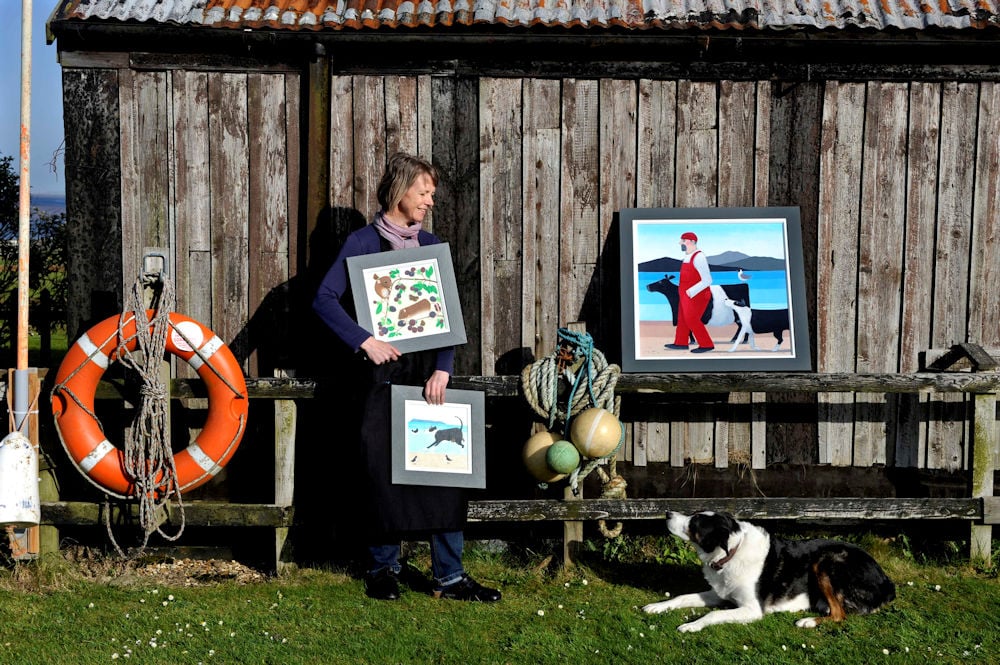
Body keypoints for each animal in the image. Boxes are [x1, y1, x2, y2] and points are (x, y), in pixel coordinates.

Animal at [644, 510, 896, 632]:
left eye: (694, 523)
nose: (667, 514)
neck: (731, 552)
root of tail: (887, 582)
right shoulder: (718, 593)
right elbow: (682, 597)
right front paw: (657, 606)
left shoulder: (752, 609)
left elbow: (713, 614)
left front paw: (692, 625)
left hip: (827, 560)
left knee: (839, 615)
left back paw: (808, 621)